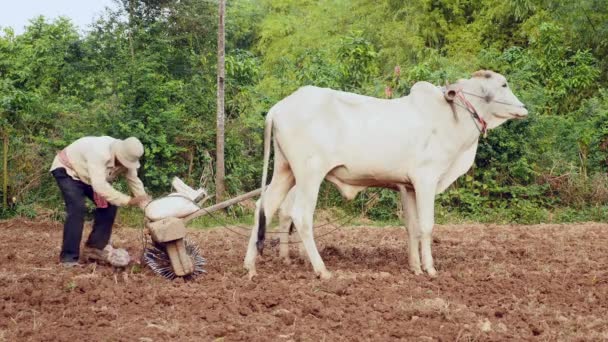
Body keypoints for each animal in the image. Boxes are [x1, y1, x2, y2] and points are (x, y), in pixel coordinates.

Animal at [242, 69, 528, 278]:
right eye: (504, 84)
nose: (524, 108)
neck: (451, 117)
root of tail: (278, 108)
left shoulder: (408, 187)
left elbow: (412, 227)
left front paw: (415, 267)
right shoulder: (426, 180)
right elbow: (427, 226)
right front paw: (430, 269)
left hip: (285, 171)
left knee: (264, 207)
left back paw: (250, 266)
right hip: (309, 174)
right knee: (299, 215)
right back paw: (322, 271)